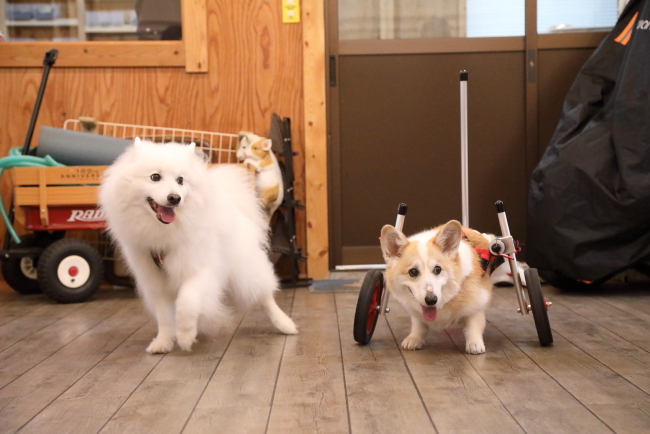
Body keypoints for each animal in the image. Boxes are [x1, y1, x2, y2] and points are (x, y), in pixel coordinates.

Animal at [98, 139, 296, 352]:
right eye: (155, 177)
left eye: (181, 180)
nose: (174, 198)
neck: (164, 234)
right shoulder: (156, 281)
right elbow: (164, 317)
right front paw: (163, 342)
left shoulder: (201, 270)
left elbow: (187, 302)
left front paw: (185, 336)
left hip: (245, 273)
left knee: (265, 295)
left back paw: (285, 324)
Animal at [380, 220, 492, 352]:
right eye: (413, 272)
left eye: (437, 269)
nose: (431, 300)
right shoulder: (416, 313)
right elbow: (419, 324)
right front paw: (414, 338)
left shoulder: (478, 301)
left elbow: (473, 324)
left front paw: (475, 343)